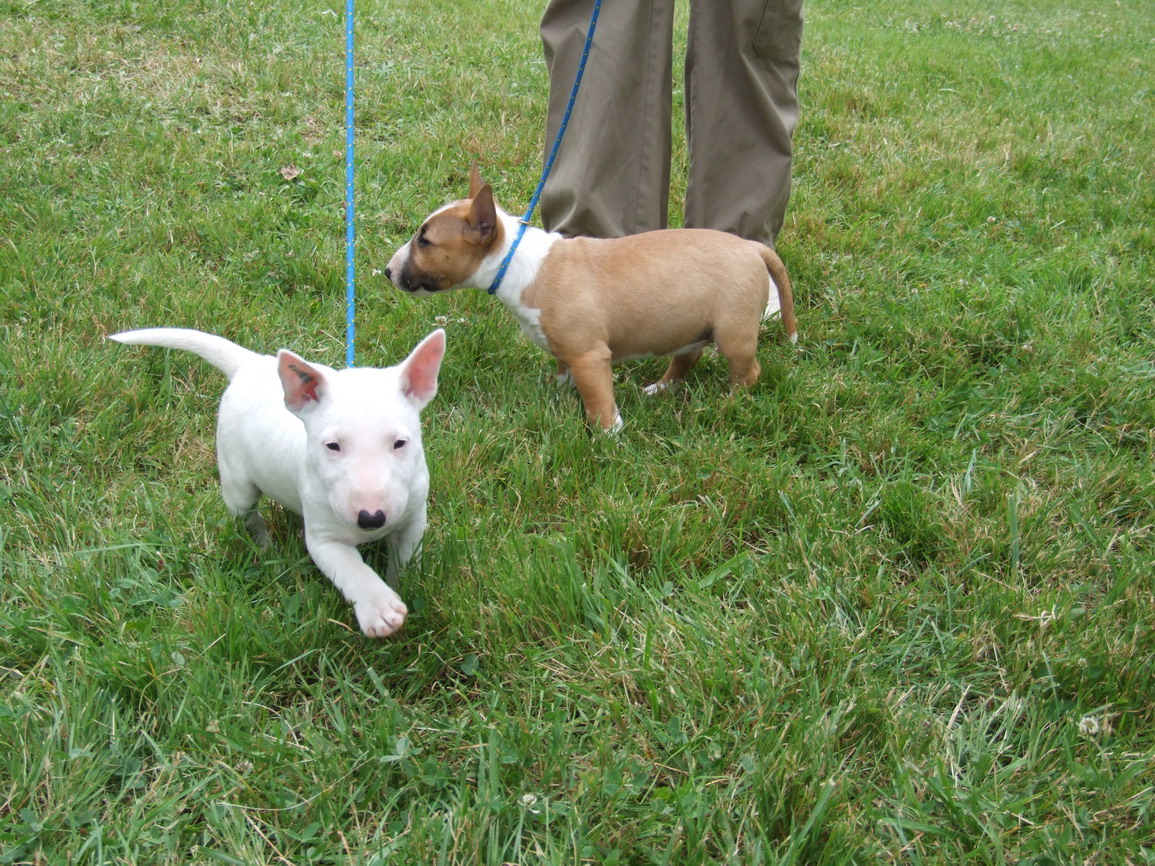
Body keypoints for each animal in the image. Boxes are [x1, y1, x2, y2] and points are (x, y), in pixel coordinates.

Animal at [110, 327, 445, 641]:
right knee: (248, 515)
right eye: (332, 446)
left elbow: (405, 559)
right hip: (237, 484)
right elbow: (353, 571)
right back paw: (267, 548)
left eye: (400, 443)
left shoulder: (413, 518)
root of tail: (251, 364)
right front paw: (379, 608)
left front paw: (402, 585)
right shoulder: (324, 539)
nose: (371, 518)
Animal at [385, 163, 794, 431]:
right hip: (691, 325)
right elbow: (564, 370)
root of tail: (753, 247)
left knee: (747, 371)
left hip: (733, 332)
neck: (518, 261)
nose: (388, 272)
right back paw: (660, 389)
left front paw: (608, 435)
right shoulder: (566, 348)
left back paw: (730, 404)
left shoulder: (590, 355)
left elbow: (598, 398)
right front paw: (556, 393)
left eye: (425, 241)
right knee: (687, 357)